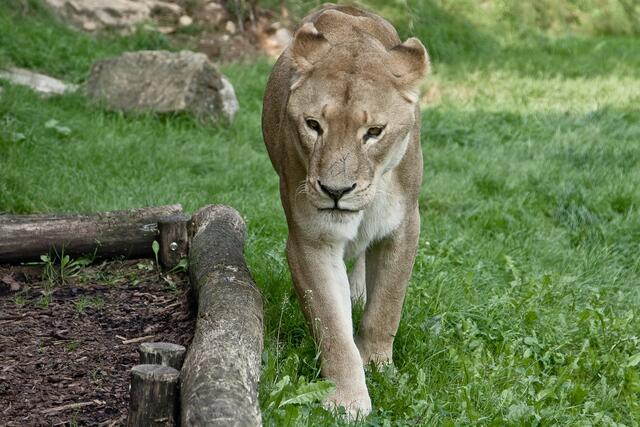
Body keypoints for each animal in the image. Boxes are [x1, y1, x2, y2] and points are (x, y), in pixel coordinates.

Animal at [262, 4, 429, 417]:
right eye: (313, 125)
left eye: (374, 132)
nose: (336, 191)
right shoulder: (311, 240)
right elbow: (332, 327)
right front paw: (346, 400)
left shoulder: (404, 227)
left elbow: (386, 307)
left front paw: (379, 367)